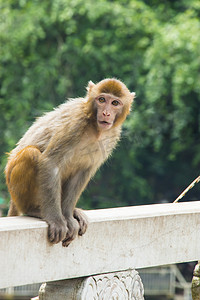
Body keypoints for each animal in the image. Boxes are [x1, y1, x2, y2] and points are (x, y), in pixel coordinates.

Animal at [5, 78, 136, 247]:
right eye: (101, 100)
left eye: (115, 103)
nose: (106, 113)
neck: (95, 128)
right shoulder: (75, 124)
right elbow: (51, 163)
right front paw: (57, 220)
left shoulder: (111, 137)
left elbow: (83, 172)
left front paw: (67, 216)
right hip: (15, 187)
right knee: (31, 154)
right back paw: (33, 209)